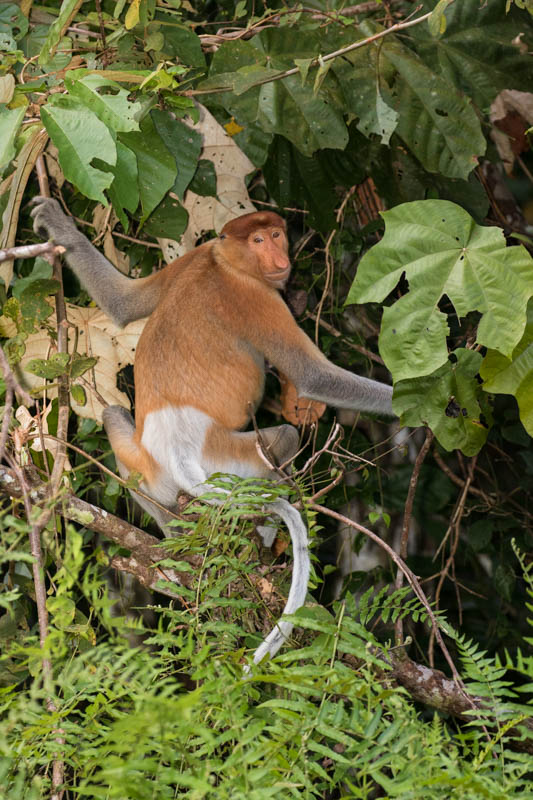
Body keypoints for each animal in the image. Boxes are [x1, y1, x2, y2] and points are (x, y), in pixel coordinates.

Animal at [30, 197, 394, 664]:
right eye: (258, 240)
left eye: (276, 234)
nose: (279, 259)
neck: (224, 262)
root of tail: (178, 453)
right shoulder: (256, 297)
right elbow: (314, 376)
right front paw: (436, 404)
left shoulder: (192, 257)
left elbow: (124, 302)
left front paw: (56, 223)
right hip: (227, 458)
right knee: (284, 441)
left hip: (143, 463)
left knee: (114, 419)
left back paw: (175, 534)